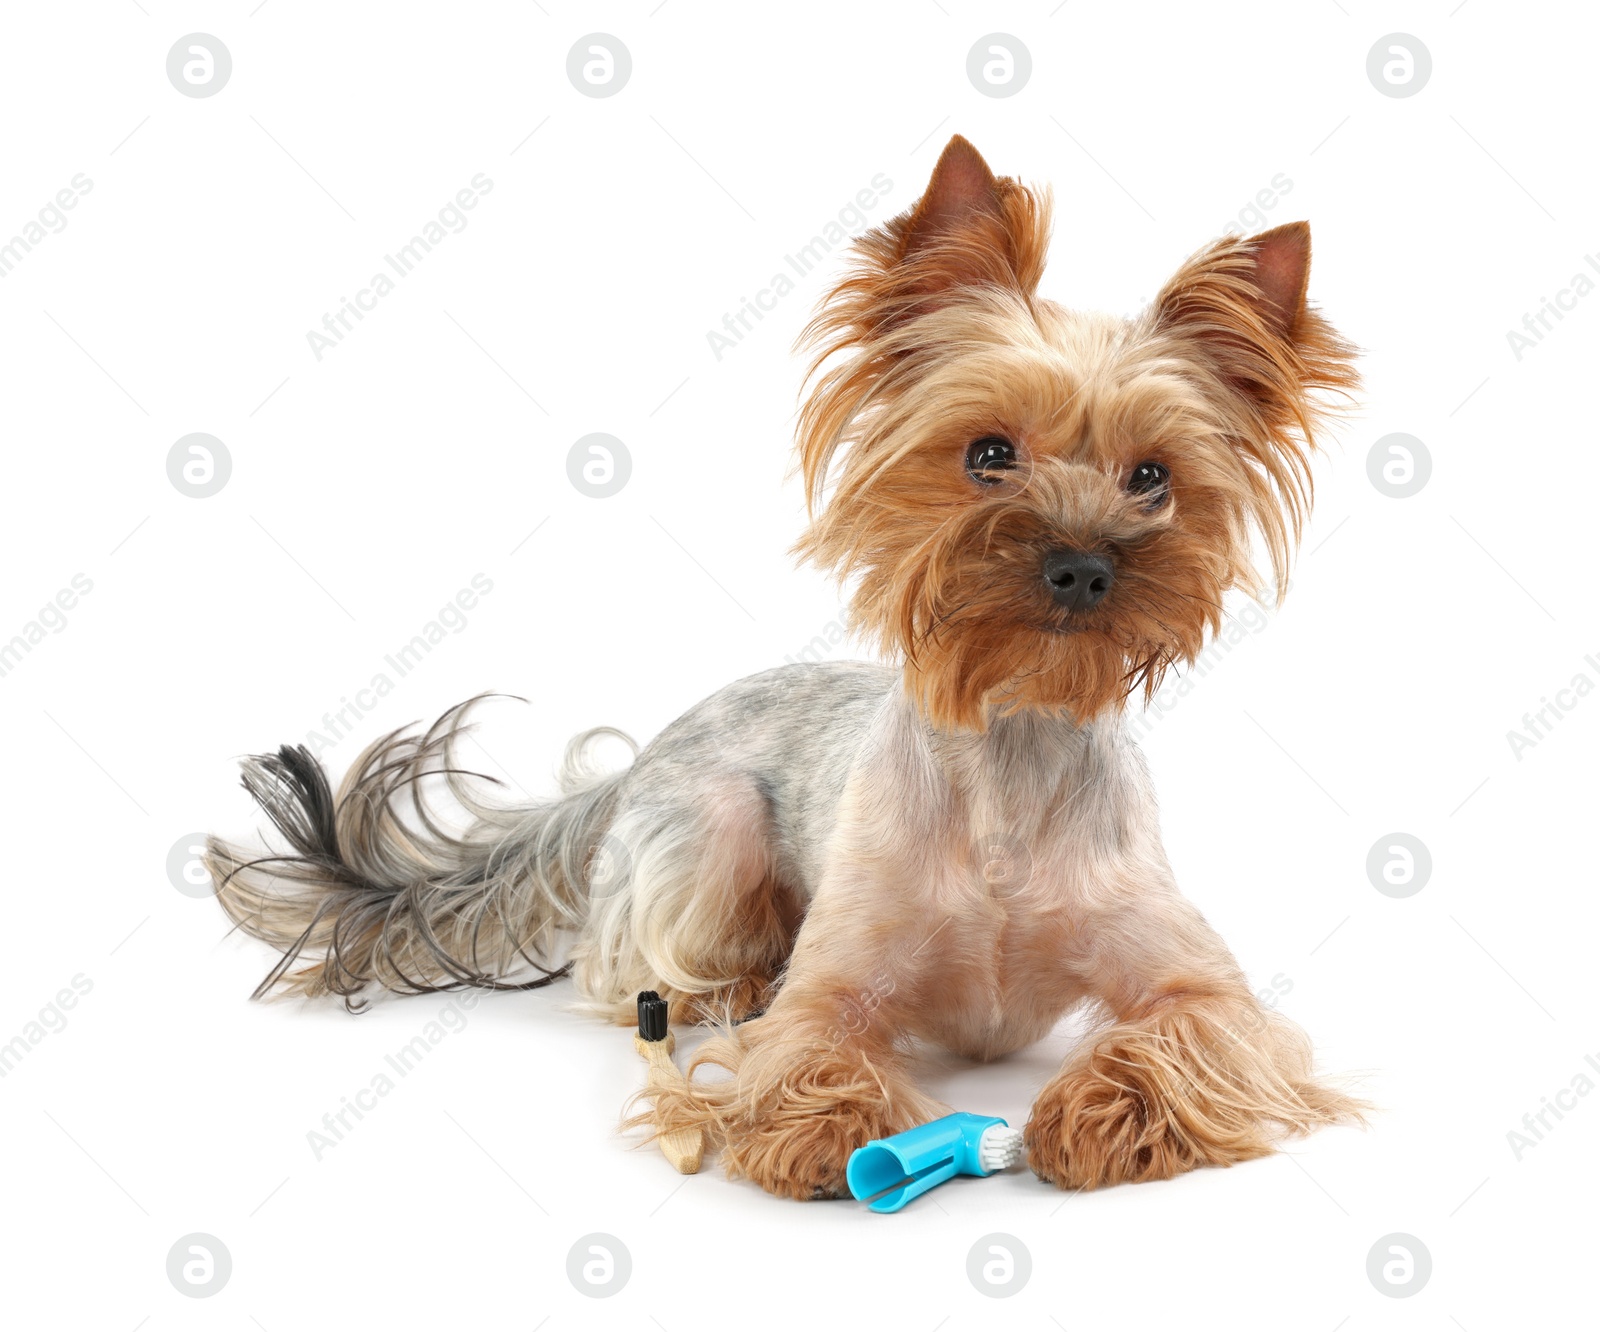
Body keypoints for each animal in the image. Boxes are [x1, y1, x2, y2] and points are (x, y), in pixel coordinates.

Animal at [206, 140, 1363, 1203]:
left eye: (1152, 479)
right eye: (988, 454)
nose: (1081, 565)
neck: (1011, 736)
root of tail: (640, 759)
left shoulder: (1202, 993)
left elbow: (1188, 1037)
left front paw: (1098, 1115)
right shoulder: (835, 984)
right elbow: (808, 1040)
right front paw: (830, 1130)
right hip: (710, 830)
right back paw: (720, 985)